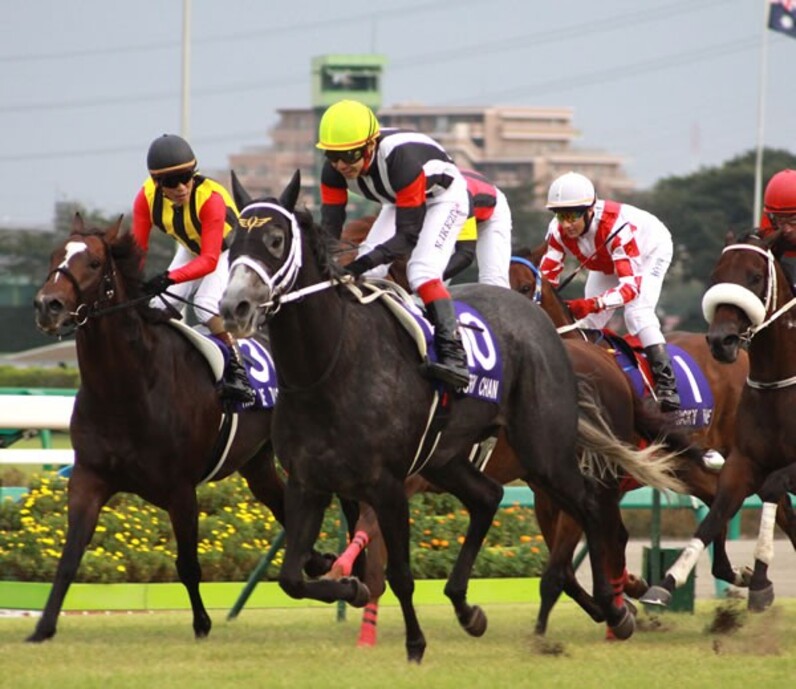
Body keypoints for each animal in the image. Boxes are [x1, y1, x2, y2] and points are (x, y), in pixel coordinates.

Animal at [221, 172, 688, 660]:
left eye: (275, 239)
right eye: (230, 242)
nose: (234, 307)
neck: (329, 367)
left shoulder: (388, 485)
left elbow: (397, 573)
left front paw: (412, 643)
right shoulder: (309, 482)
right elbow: (293, 577)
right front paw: (349, 585)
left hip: (545, 454)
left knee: (593, 510)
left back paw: (616, 609)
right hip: (451, 461)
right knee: (490, 498)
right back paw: (475, 607)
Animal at [640, 232, 796, 612]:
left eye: (755, 276)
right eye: (716, 275)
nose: (721, 341)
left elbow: (772, 489)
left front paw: (758, 581)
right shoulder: (742, 461)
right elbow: (715, 516)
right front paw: (664, 584)